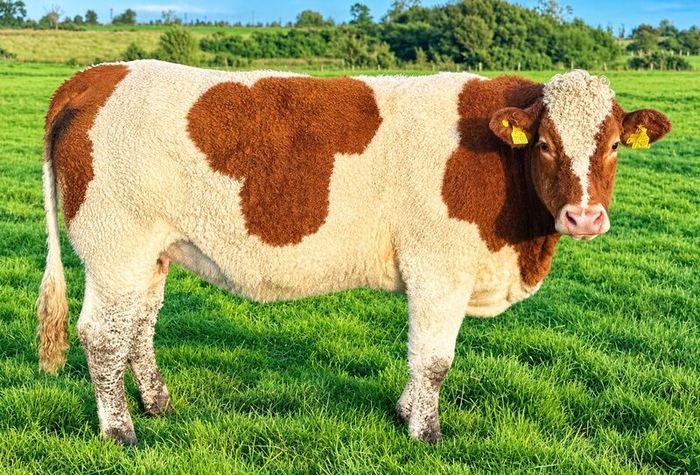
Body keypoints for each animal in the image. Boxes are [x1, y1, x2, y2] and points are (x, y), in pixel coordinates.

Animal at [36, 60, 671, 445]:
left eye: (616, 145)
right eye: (544, 143)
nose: (585, 217)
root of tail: (97, 74)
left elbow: (418, 355)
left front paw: (405, 412)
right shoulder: (440, 268)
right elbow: (434, 359)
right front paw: (426, 434)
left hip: (151, 254)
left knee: (138, 328)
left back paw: (157, 405)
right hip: (116, 247)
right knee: (102, 336)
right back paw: (119, 431)